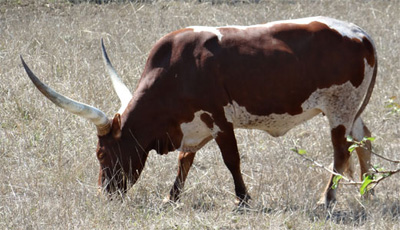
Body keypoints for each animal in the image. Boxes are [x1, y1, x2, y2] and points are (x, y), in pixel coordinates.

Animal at [21, 16, 378, 208]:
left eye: (100, 154)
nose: (104, 195)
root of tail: (362, 34)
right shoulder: (192, 126)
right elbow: (184, 160)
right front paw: (171, 198)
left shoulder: (218, 119)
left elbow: (231, 159)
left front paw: (242, 199)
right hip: (352, 110)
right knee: (364, 141)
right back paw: (368, 189)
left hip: (339, 109)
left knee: (341, 151)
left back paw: (327, 199)